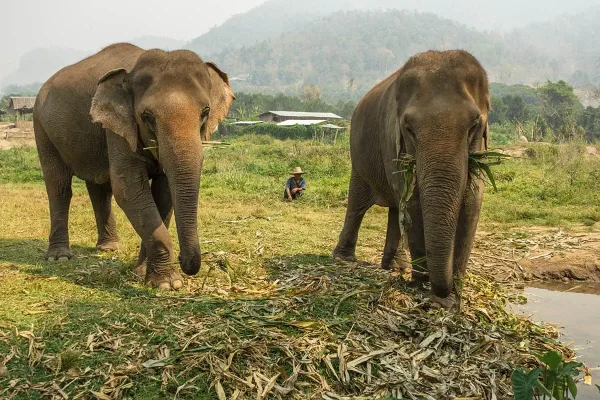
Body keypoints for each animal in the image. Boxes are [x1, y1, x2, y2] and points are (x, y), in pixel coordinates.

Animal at [32, 42, 234, 290]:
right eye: (147, 117)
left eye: (205, 112)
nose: (184, 261)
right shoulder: (117, 129)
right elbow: (128, 189)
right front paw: (168, 283)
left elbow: (163, 193)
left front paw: (142, 275)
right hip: (41, 127)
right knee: (59, 186)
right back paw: (59, 256)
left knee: (99, 188)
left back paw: (109, 248)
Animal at [332, 49, 492, 306]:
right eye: (409, 128)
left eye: (474, 125)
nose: (444, 288)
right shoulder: (391, 139)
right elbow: (414, 201)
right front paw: (424, 287)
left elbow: (472, 202)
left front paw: (453, 296)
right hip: (358, 156)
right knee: (358, 204)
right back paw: (343, 259)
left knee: (397, 207)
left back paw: (395, 268)